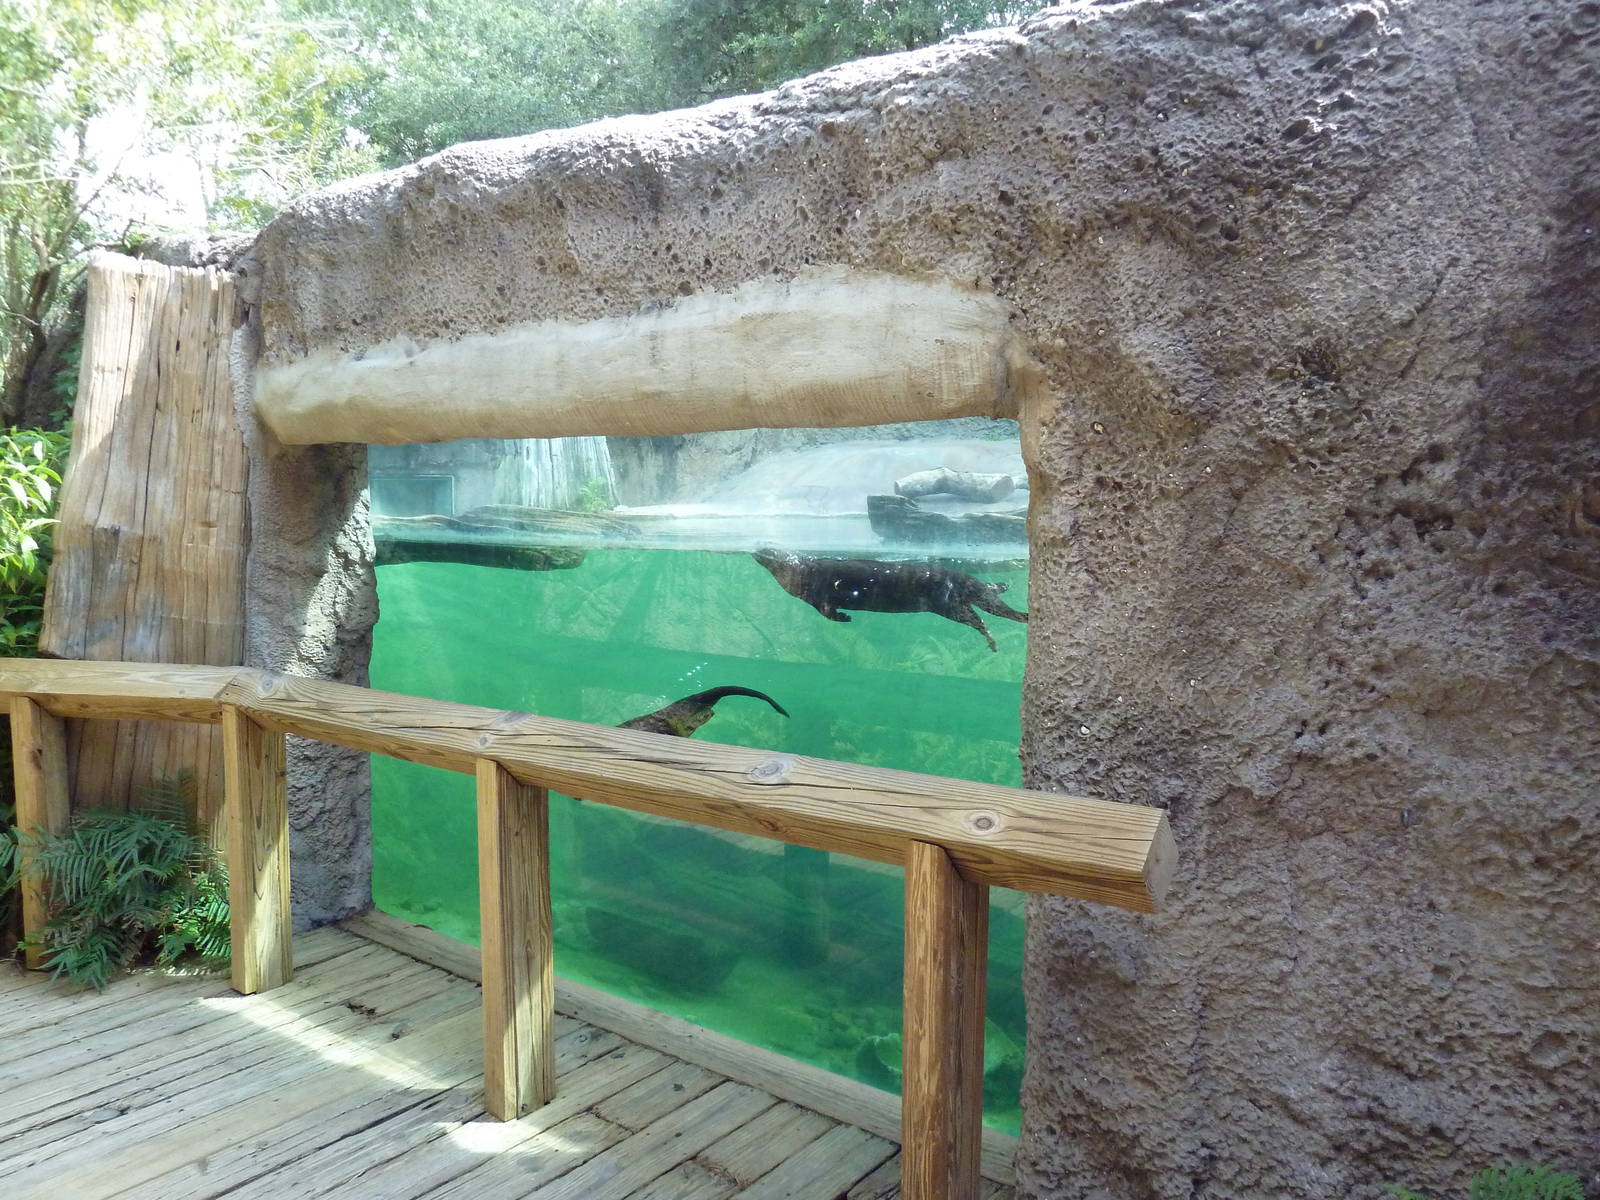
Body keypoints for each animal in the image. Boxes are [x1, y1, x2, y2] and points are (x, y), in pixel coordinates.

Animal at [751, 548, 1027, 652]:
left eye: (774, 551)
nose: (759, 548)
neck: (805, 572)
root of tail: (970, 582)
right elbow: (827, 612)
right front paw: (846, 616)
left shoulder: (820, 590)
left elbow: (828, 611)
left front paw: (845, 617)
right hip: (959, 602)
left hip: (949, 604)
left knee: (981, 618)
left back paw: (998, 638)